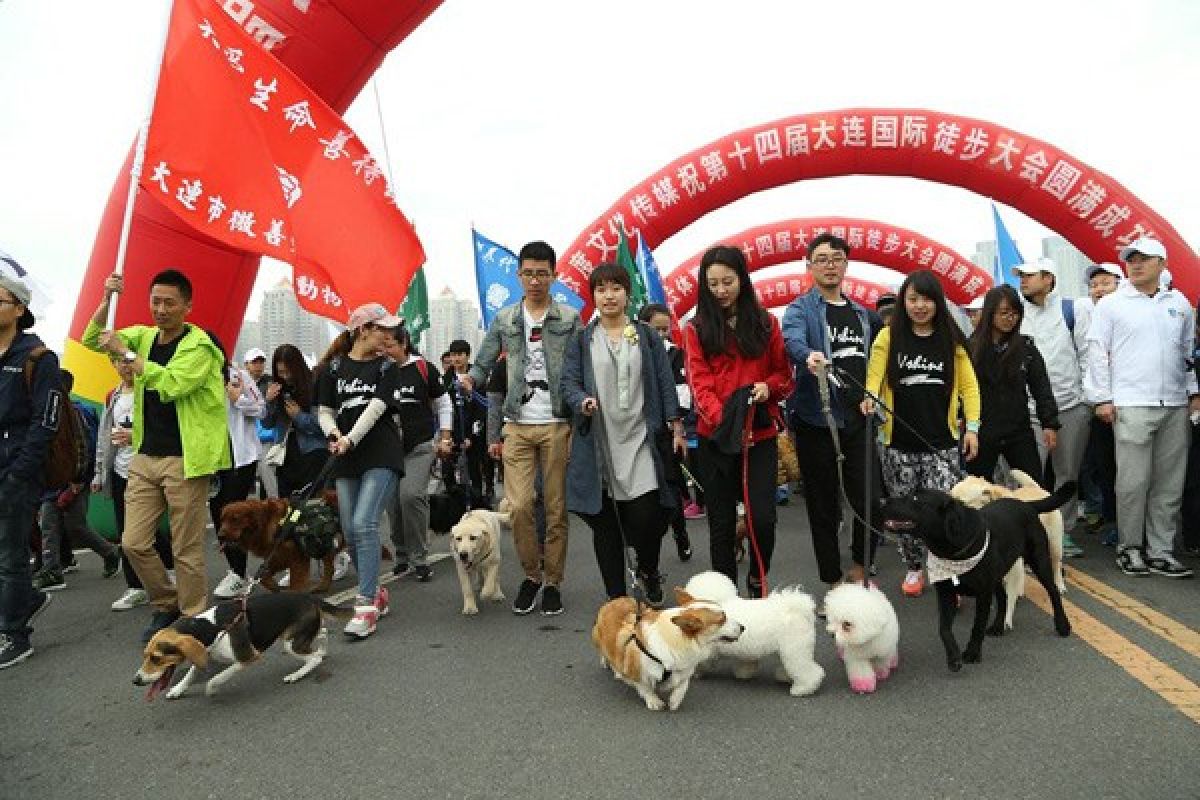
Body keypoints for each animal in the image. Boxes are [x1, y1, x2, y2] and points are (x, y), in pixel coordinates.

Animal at [136, 594, 352, 700]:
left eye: (156, 658)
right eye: (145, 655)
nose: (135, 681)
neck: (211, 627)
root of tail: (311, 598)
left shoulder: (248, 657)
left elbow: (218, 677)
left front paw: (211, 689)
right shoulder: (204, 654)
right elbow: (190, 675)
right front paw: (178, 689)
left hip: (291, 644)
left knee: (314, 658)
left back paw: (296, 675)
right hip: (297, 636)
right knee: (322, 635)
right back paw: (322, 650)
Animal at [878, 484, 1075, 671]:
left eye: (915, 498)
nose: (881, 501)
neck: (952, 552)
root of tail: (1026, 504)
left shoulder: (983, 594)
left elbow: (977, 625)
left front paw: (972, 652)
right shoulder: (946, 594)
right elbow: (943, 629)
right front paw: (954, 657)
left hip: (1040, 560)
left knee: (1053, 591)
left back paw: (1063, 625)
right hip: (998, 574)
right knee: (1003, 597)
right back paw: (998, 626)